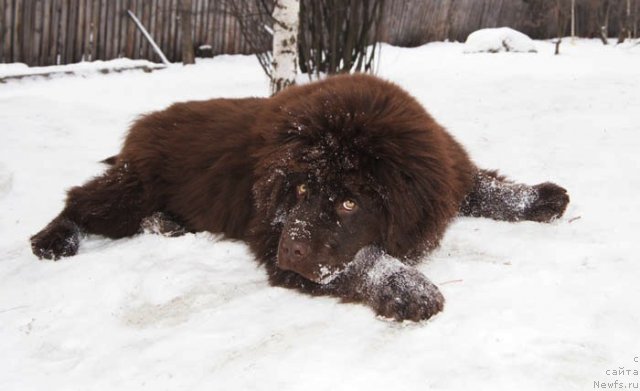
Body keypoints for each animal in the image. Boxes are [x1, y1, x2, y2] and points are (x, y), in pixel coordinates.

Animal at [31, 73, 568, 322]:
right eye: (304, 189)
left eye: (350, 203)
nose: (292, 248)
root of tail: (145, 124)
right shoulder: (274, 237)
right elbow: (363, 259)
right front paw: (408, 287)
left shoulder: (446, 173)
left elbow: (483, 186)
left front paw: (540, 198)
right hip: (132, 188)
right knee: (79, 201)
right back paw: (53, 240)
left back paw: (166, 224)